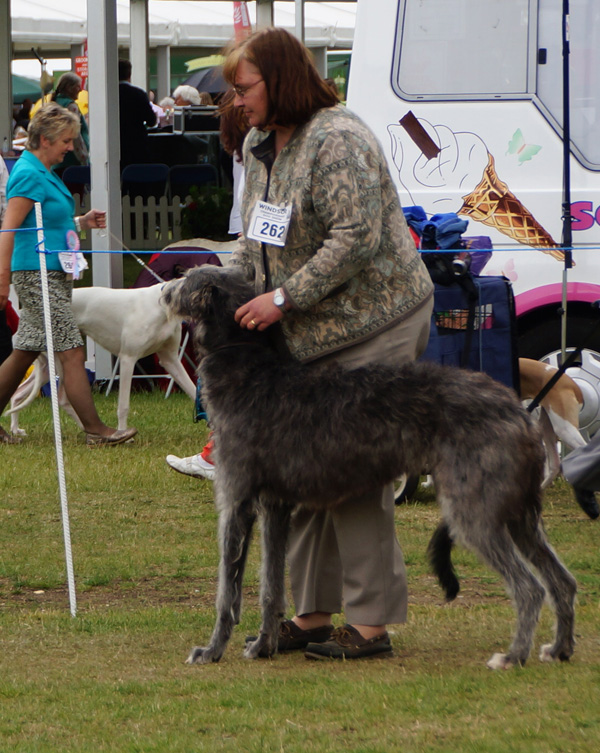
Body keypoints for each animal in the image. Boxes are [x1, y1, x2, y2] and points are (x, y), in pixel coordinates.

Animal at [164, 266, 576, 668]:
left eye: (186, 279)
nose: (165, 291)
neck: (249, 371)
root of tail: (517, 411)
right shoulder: (275, 507)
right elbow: (271, 588)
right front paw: (265, 644)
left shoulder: (237, 502)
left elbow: (227, 591)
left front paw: (211, 650)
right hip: (518, 512)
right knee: (562, 580)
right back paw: (559, 648)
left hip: (474, 510)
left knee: (529, 588)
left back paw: (513, 655)